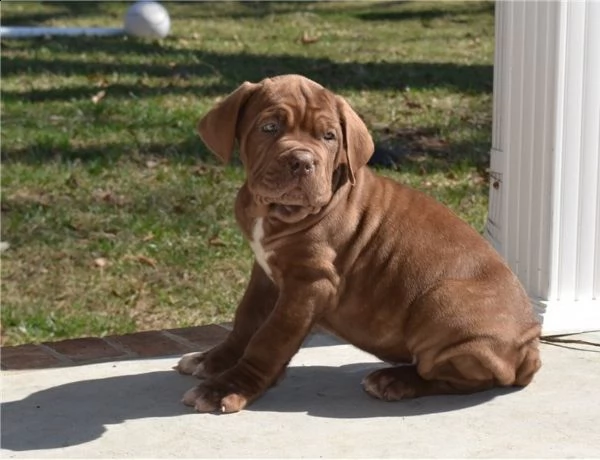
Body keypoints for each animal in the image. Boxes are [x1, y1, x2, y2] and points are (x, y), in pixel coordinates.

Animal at [176, 74, 540, 414]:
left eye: (329, 137)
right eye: (269, 127)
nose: (303, 162)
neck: (274, 213)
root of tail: (529, 347)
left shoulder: (310, 284)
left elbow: (270, 338)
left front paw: (226, 388)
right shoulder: (265, 272)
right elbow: (246, 319)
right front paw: (213, 360)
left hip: (442, 302)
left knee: (461, 378)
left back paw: (395, 380)